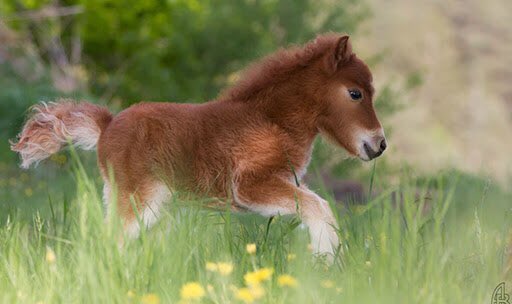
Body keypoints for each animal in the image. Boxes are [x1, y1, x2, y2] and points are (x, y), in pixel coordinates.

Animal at [11, 33, 384, 258]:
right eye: (355, 93)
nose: (379, 144)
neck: (271, 119)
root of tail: (107, 125)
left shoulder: (283, 181)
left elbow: (318, 205)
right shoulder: (249, 187)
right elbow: (318, 206)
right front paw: (327, 260)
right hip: (139, 199)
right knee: (111, 240)